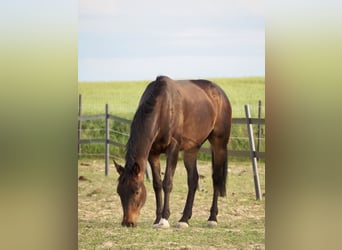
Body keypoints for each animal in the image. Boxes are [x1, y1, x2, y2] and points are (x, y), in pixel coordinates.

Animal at [115, 75, 232, 229]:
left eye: (136, 191)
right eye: (119, 192)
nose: (127, 222)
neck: (163, 107)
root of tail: (220, 93)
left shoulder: (173, 148)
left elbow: (167, 183)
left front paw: (164, 219)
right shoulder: (153, 153)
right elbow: (157, 184)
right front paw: (157, 219)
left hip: (219, 144)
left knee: (216, 178)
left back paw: (212, 218)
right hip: (191, 149)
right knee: (193, 180)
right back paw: (184, 219)